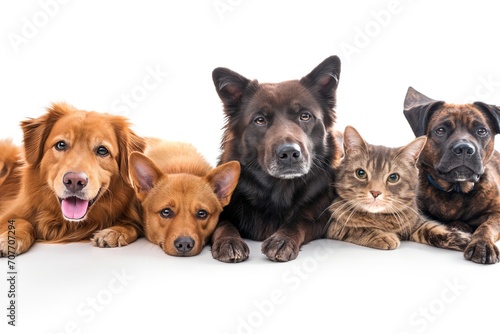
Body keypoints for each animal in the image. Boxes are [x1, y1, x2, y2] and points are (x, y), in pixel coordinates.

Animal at [0, 102, 145, 256]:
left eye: (102, 150)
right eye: (61, 144)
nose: (75, 181)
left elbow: (133, 226)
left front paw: (114, 232)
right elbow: (21, 221)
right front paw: (11, 239)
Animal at [209, 56, 342, 262]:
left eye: (305, 116)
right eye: (260, 120)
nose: (289, 154)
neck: (279, 188)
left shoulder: (320, 217)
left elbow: (299, 220)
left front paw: (282, 239)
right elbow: (221, 223)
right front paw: (229, 241)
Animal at [326, 126, 470, 250]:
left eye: (393, 177)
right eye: (360, 173)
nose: (375, 192)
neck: (380, 218)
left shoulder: (414, 220)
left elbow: (431, 226)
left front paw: (462, 238)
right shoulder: (333, 225)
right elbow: (357, 228)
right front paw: (384, 236)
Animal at [402, 87, 500, 264]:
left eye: (481, 131)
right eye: (440, 130)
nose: (464, 148)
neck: (456, 189)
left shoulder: (497, 213)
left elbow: (487, 226)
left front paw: (482, 244)